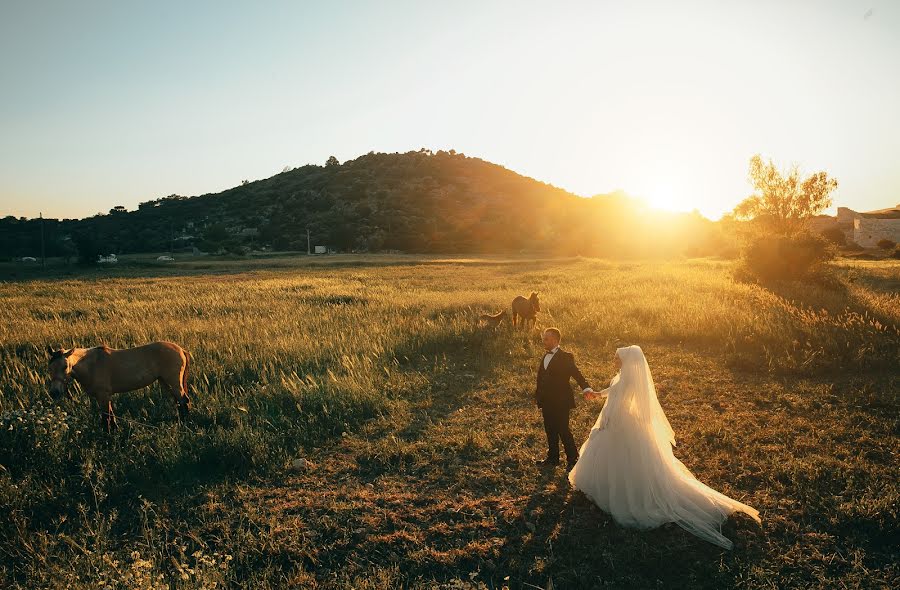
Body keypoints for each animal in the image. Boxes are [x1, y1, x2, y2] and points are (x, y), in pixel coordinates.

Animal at [48, 340, 192, 432]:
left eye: (65, 366)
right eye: (49, 368)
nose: (54, 392)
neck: (91, 365)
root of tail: (181, 349)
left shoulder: (103, 396)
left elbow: (106, 418)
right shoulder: (104, 397)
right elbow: (111, 416)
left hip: (173, 382)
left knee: (184, 401)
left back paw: (186, 424)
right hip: (165, 382)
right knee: (178, 402)